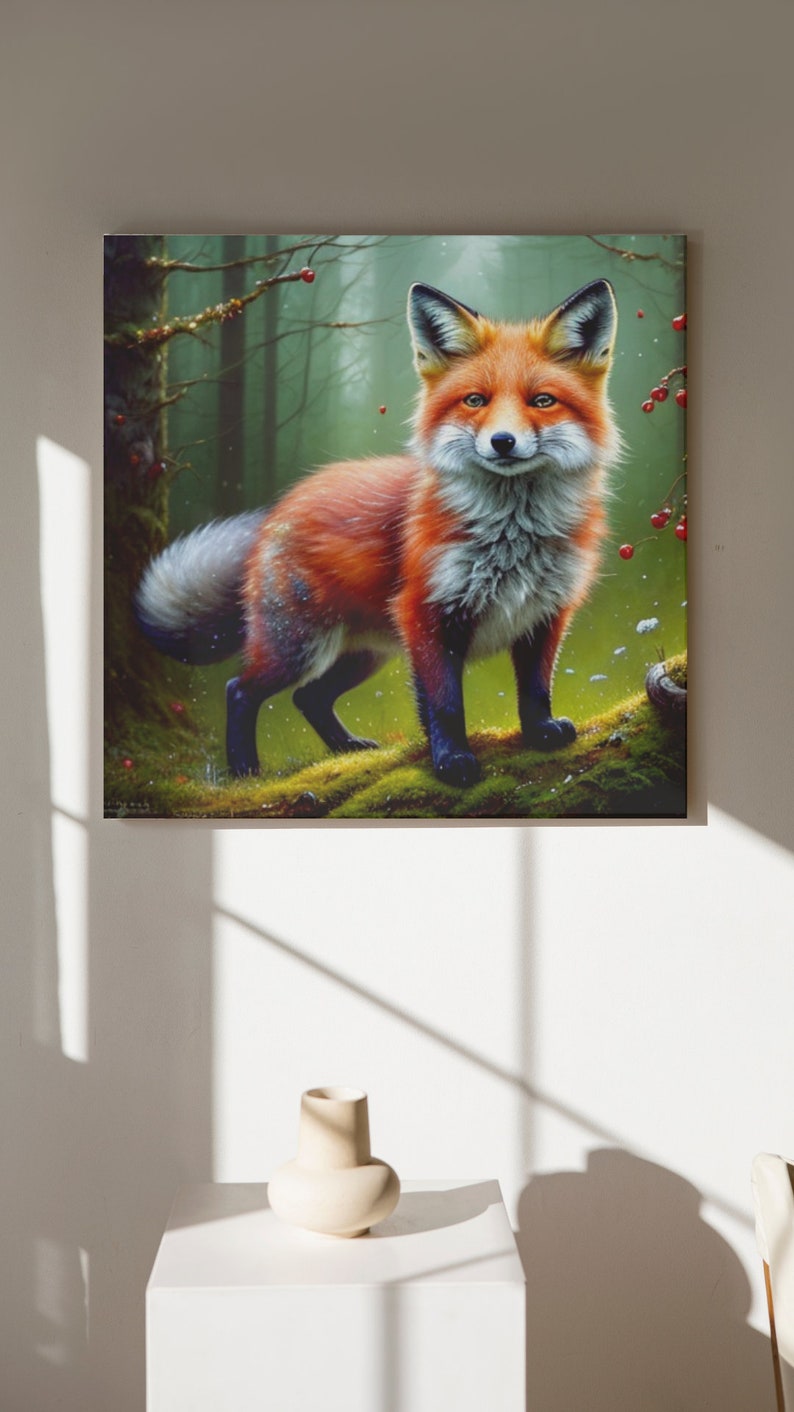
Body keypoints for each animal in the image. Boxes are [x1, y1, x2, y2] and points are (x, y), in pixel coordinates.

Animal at [135, 278, 620, 788]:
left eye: (542, 401)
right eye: (475, 400)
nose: (502, 442)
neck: (512, 539)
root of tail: (282, 506)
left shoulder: (546, 614)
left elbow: (535, 688)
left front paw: (540, 733)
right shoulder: (426, 615)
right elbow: (445, 704)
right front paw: (452, 762)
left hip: (365, 654)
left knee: (308, 696)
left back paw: (346, 749)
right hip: (300, 647)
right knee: (240, 689)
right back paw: (247, 772)